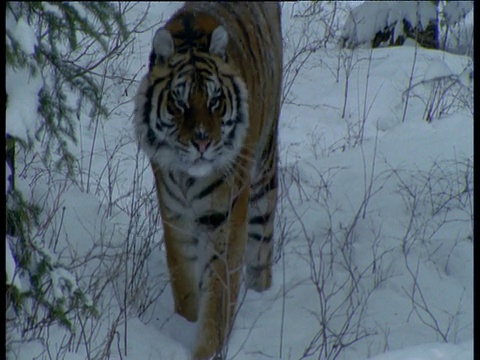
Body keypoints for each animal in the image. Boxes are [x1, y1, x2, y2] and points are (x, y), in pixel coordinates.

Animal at [133, 2, 284, 358]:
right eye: (180, 102)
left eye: (215, 101)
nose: (202, 142)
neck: (187, 177)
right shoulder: (176, 217)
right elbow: (185, 284)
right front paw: (184, 327)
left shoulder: (224, 217)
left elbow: (217, 296)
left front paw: (208, 348)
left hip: (263, 172)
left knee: (261, 247)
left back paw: (261, 294)